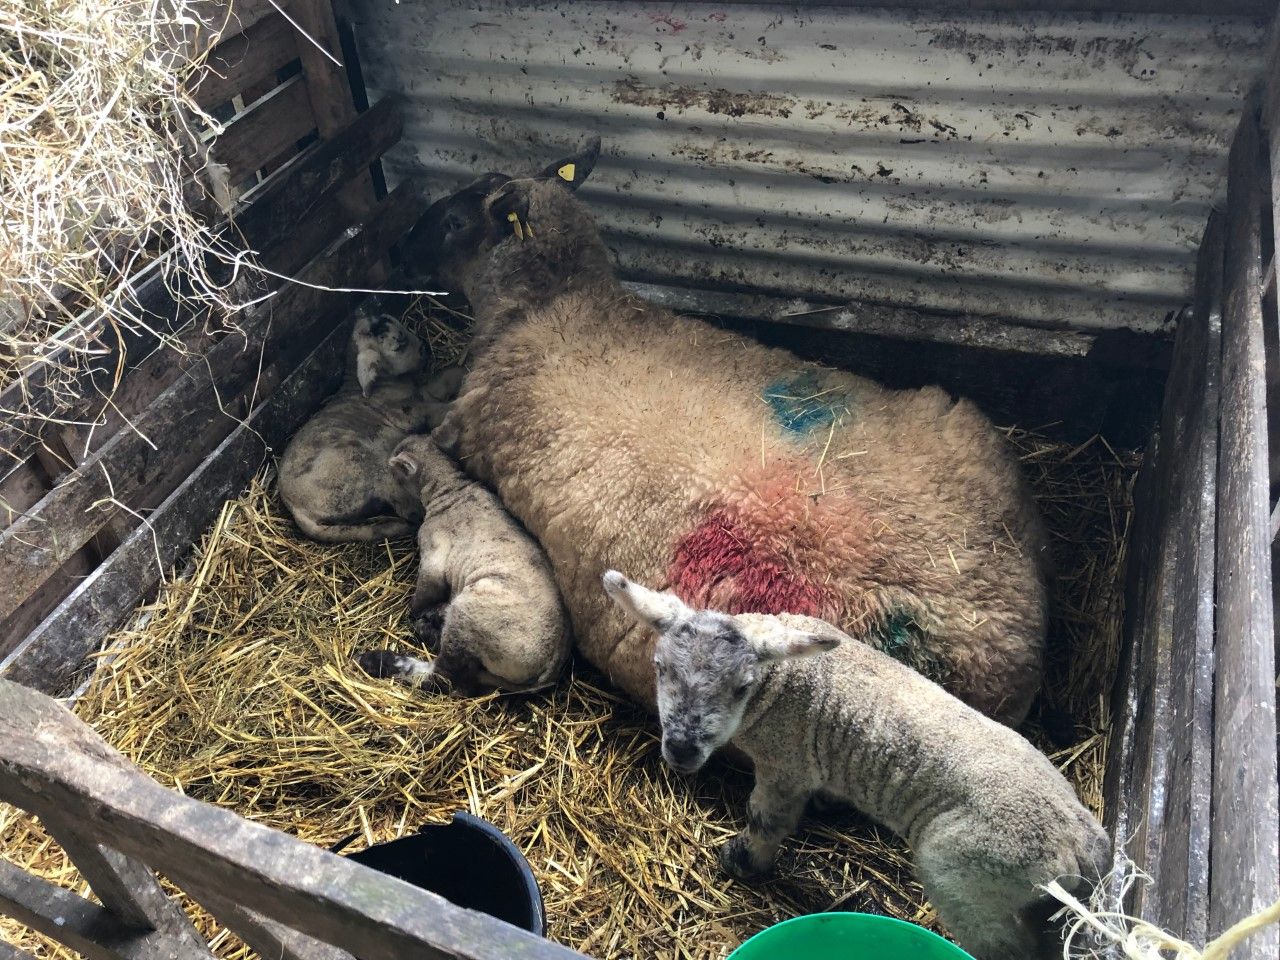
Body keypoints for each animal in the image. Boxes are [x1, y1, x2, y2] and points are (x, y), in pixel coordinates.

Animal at [278, 308, 463, 543]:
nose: (426, 349)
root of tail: (296, 509)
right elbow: (437, 410)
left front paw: (461, 372)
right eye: (399, 344)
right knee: (407, 508)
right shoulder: (410, 413)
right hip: (364, 468)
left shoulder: (421, 393)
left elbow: (443, 381)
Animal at [353, 434, 570, 694]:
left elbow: (423, 593)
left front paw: (414, 613)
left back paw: (381, 658)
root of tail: (550, 668)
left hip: (472, 617)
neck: (450, 488)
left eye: (394, 473)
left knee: (444, 677)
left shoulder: (433, 551)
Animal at [602, 569, 1109, 960]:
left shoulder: (785, 765)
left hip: (969, 875)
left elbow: (767, 820)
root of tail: (1085, 843)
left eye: (741, 686)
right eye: (660, 667)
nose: (682, 750)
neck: (782, 680)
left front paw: (743, 862)